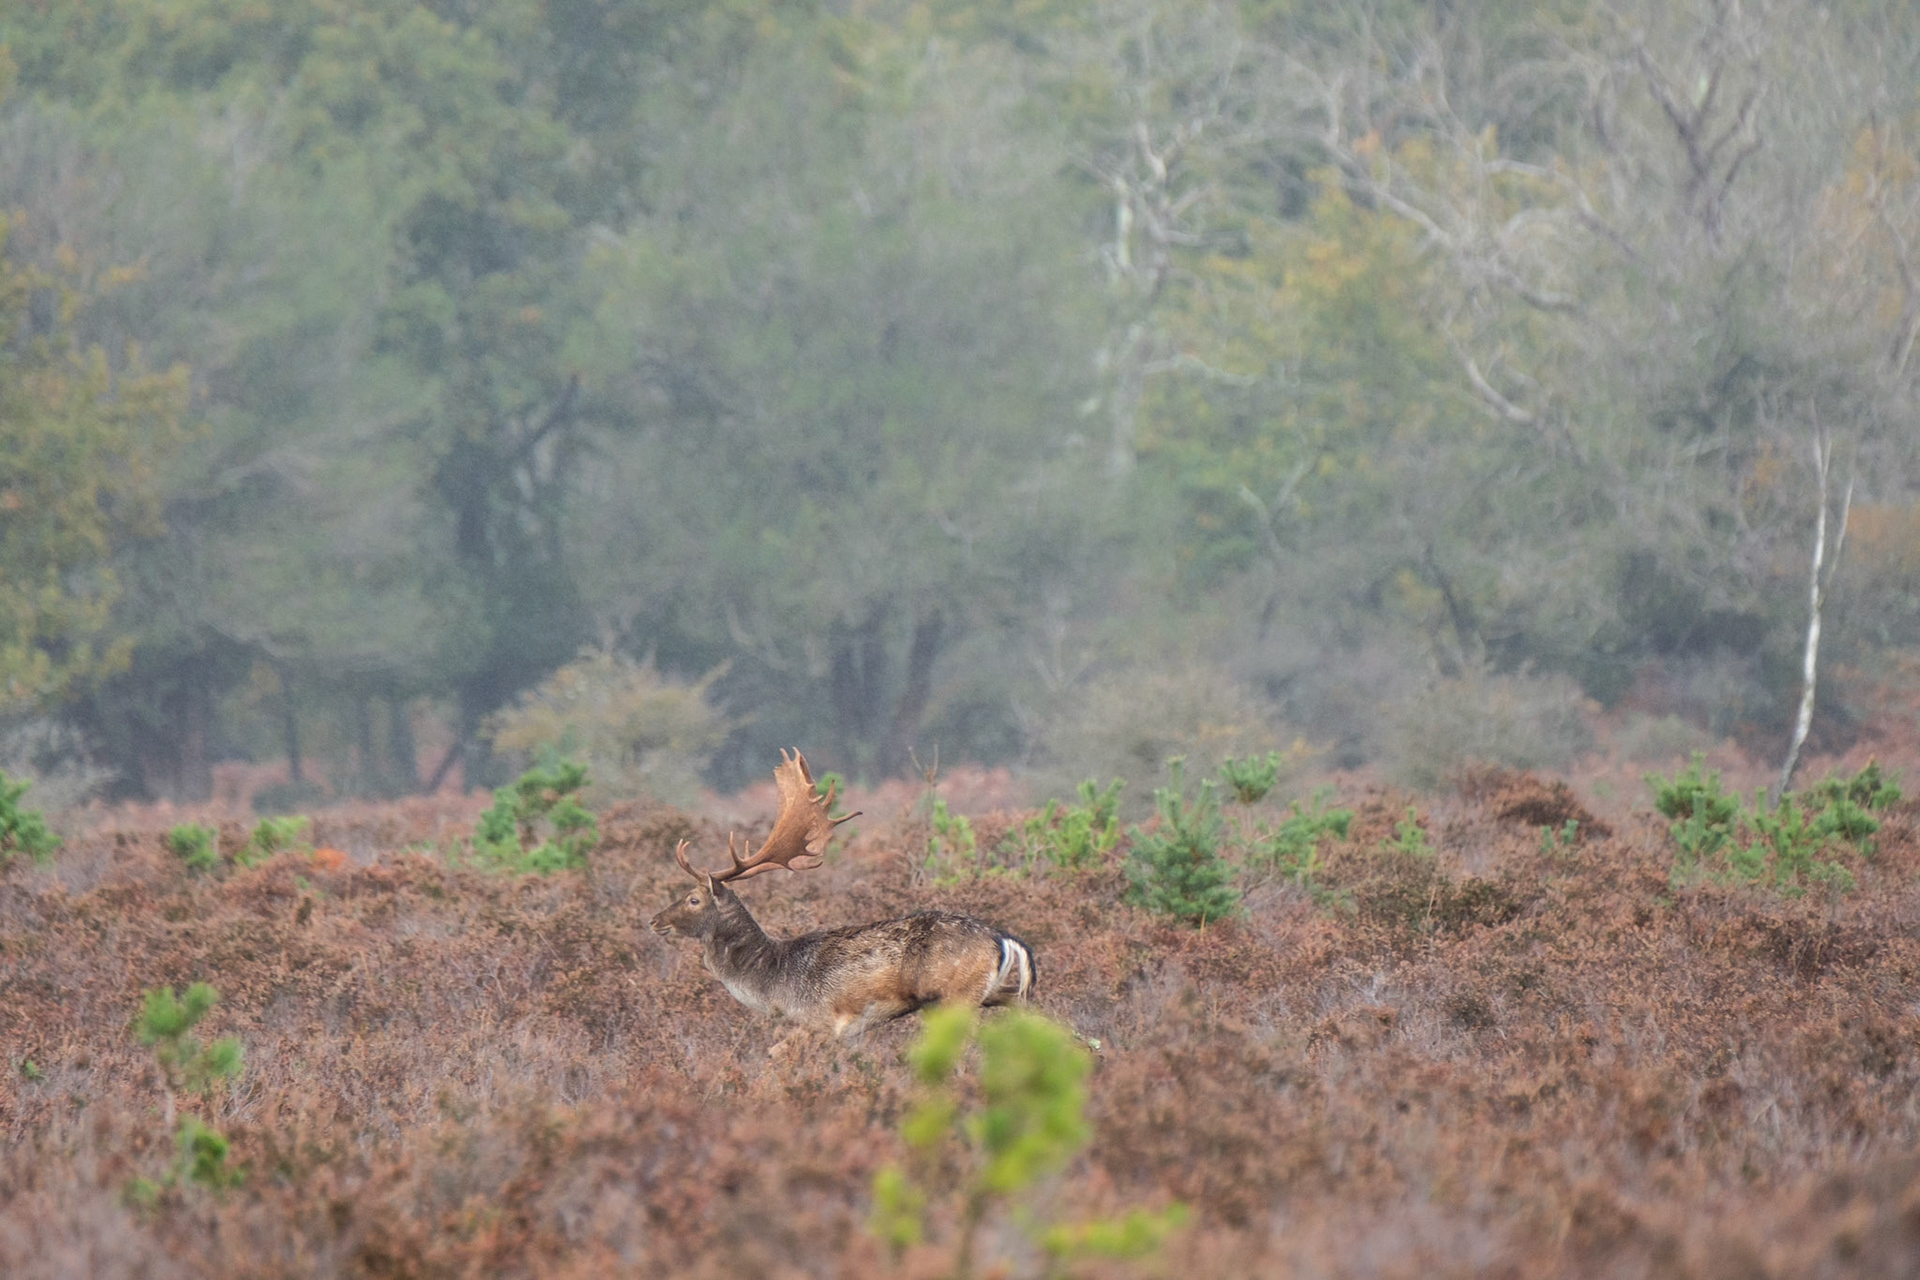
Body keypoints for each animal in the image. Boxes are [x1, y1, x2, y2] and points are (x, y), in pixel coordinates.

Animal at [650, 750, 1035, 1048]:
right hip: (993, 992)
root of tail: (1003, 939)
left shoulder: (819, 1021)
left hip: (956, 996)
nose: (654, 920)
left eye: (693, 899)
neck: (771, 982)